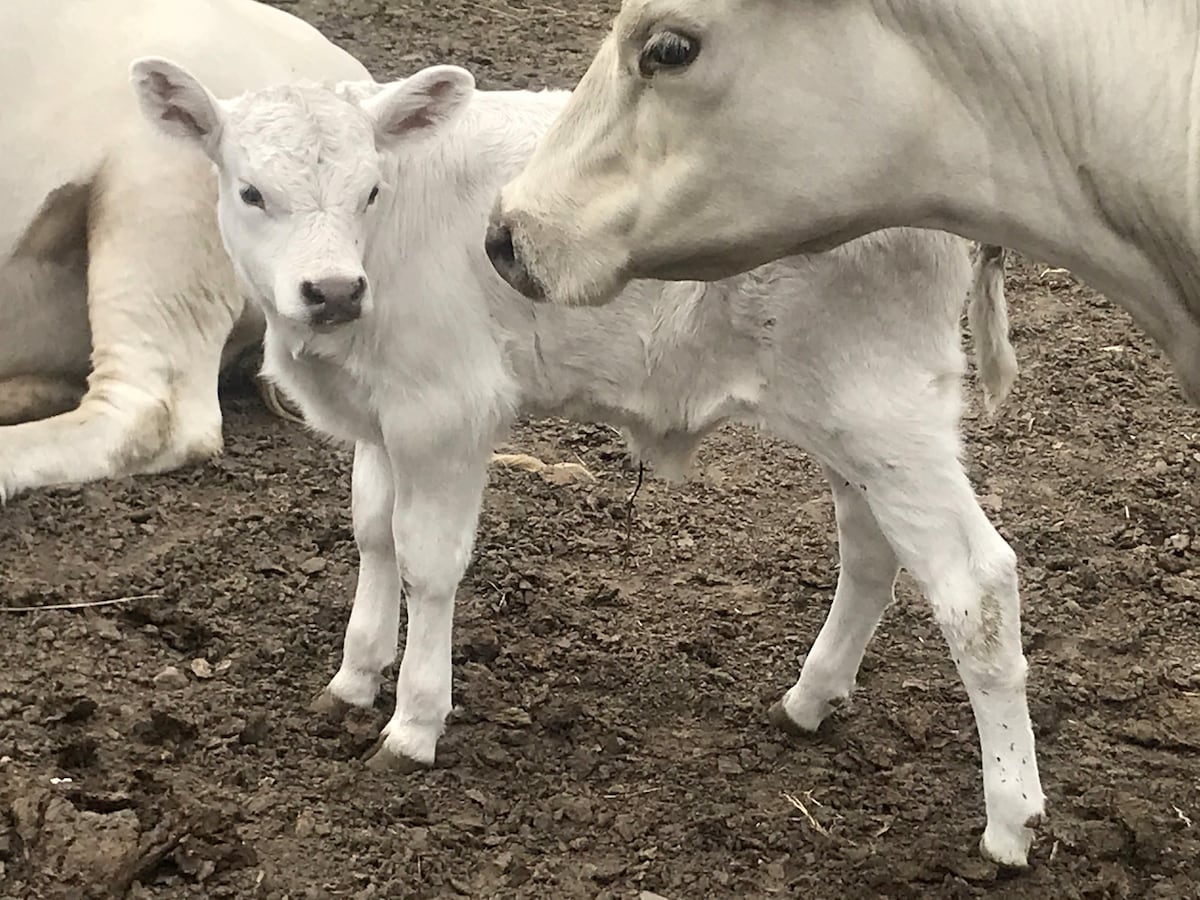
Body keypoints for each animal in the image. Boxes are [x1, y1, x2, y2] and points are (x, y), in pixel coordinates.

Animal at [131, 60, 1041, 868]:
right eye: (251, 192)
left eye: (370, 191)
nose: (332, 290)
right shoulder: (381, 416)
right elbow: (373, 535)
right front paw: (354, 678)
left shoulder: (447, 407)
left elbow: (428, 562)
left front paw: (413, 722)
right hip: (849, 420)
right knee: (871, 549)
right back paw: (809, 700)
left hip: (885, 407)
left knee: (975, 585)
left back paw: (1010, 821)